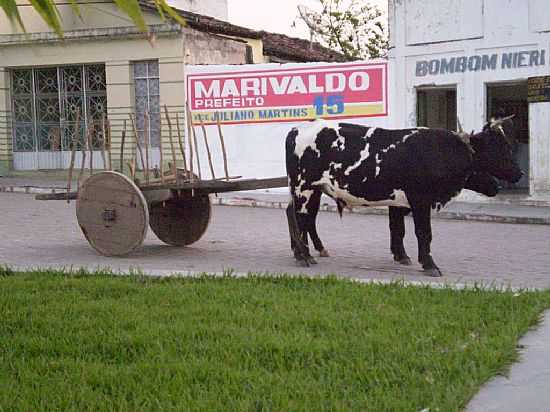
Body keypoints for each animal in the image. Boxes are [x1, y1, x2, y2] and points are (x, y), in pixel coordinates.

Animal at [286, 116, 524, 276]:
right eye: (500, 148)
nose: (519, 173)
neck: (439, 150)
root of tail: (299, 127)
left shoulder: (401, 201)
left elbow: (398, 229)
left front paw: (403, 256)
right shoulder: (420, 199)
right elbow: (423, 233)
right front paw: (429, 264)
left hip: (312, 189)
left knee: (302, 217)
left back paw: (306, 252)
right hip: (303, 187)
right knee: (300, 218)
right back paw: (304, 255)